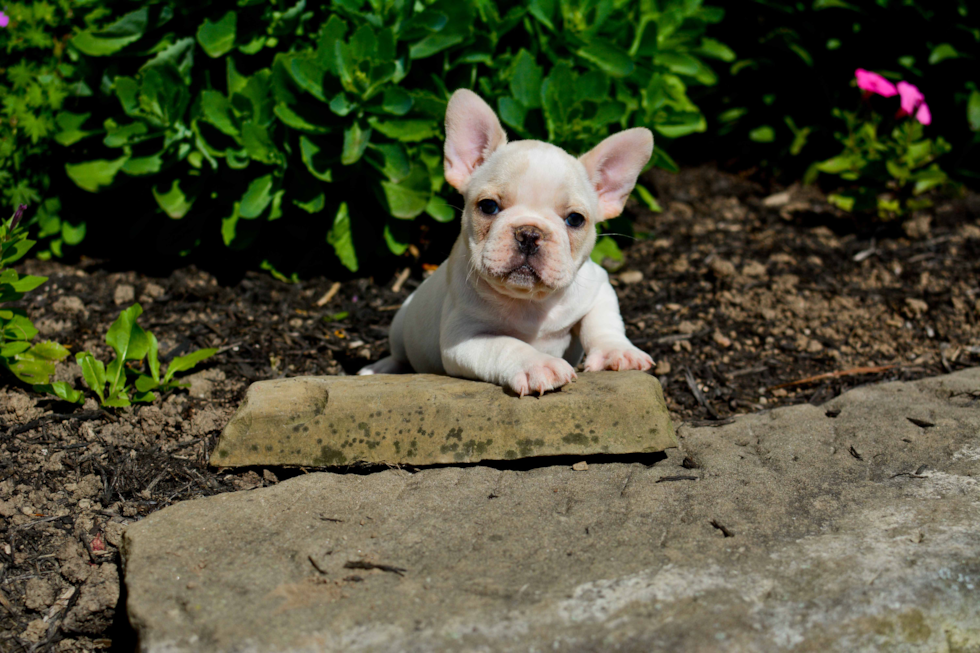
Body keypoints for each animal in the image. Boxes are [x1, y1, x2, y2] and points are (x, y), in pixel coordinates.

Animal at [356, 86, 656, 392]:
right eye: (488, 206)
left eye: (575, 219)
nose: (530, 233)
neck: (530, 302)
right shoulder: (465, 337)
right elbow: (507, 345)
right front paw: (538, 364)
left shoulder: (598, 287)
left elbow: (604, 322)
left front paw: (617, 352)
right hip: (400, 323)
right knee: (399, 354)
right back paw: (378, 368)